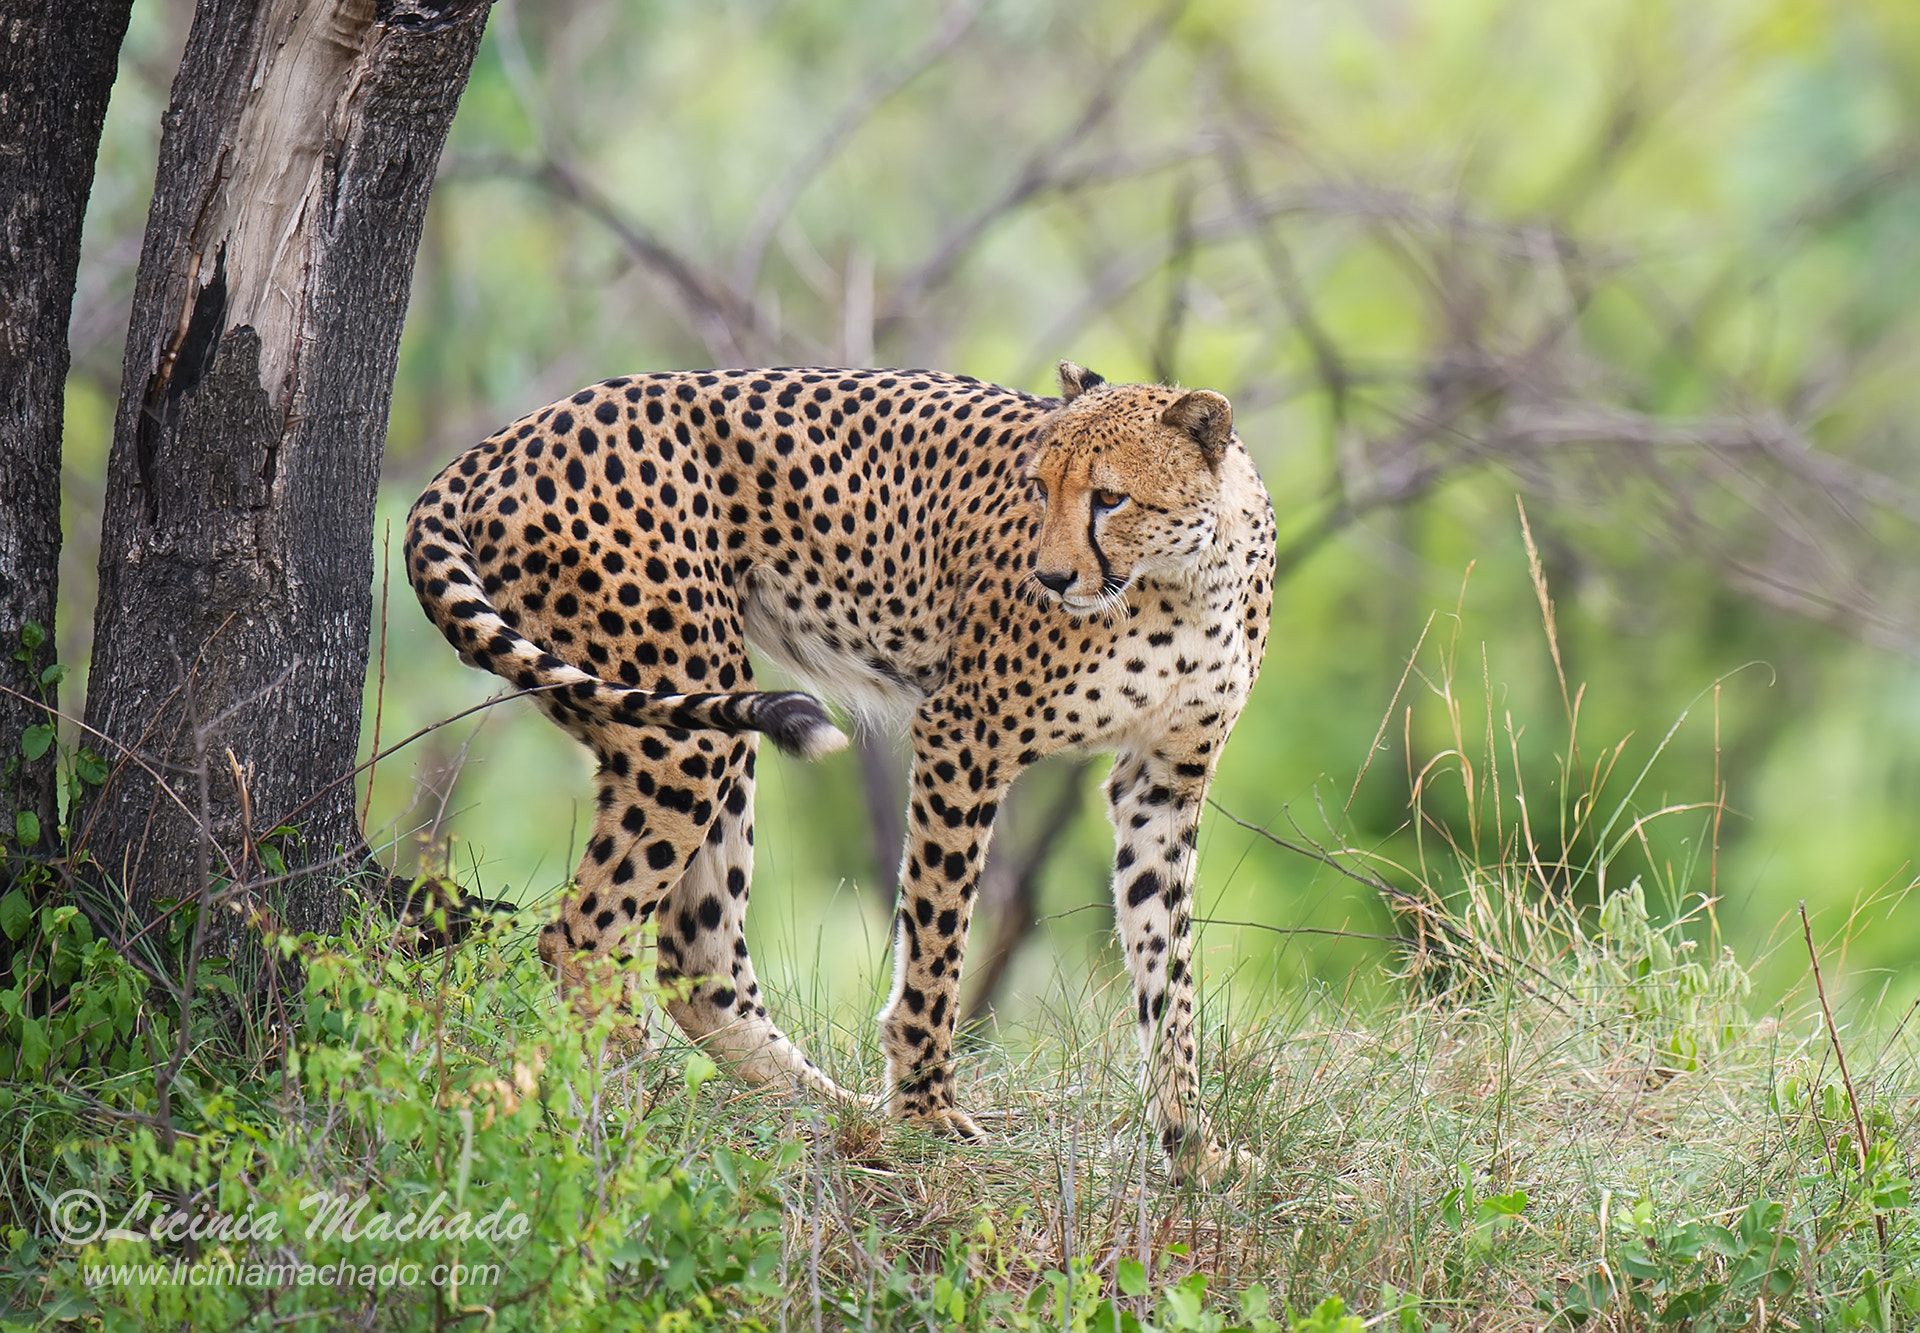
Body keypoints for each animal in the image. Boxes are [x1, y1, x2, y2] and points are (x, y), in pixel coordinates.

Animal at [404, 360, 1277, 1183]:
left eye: (1109, 497)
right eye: (1038, 488)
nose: (1052, 578)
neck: (1184, 581)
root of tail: (509, 437)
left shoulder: (1161, 782)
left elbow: (1168, 971)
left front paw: (1191, 1148)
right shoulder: (964, 734)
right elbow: (936, 938)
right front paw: (926, 1112)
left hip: (716, 719)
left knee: (695, 949)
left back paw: (821, 1109)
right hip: (684, 713)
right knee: (582, 933)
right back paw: (629, 1108)